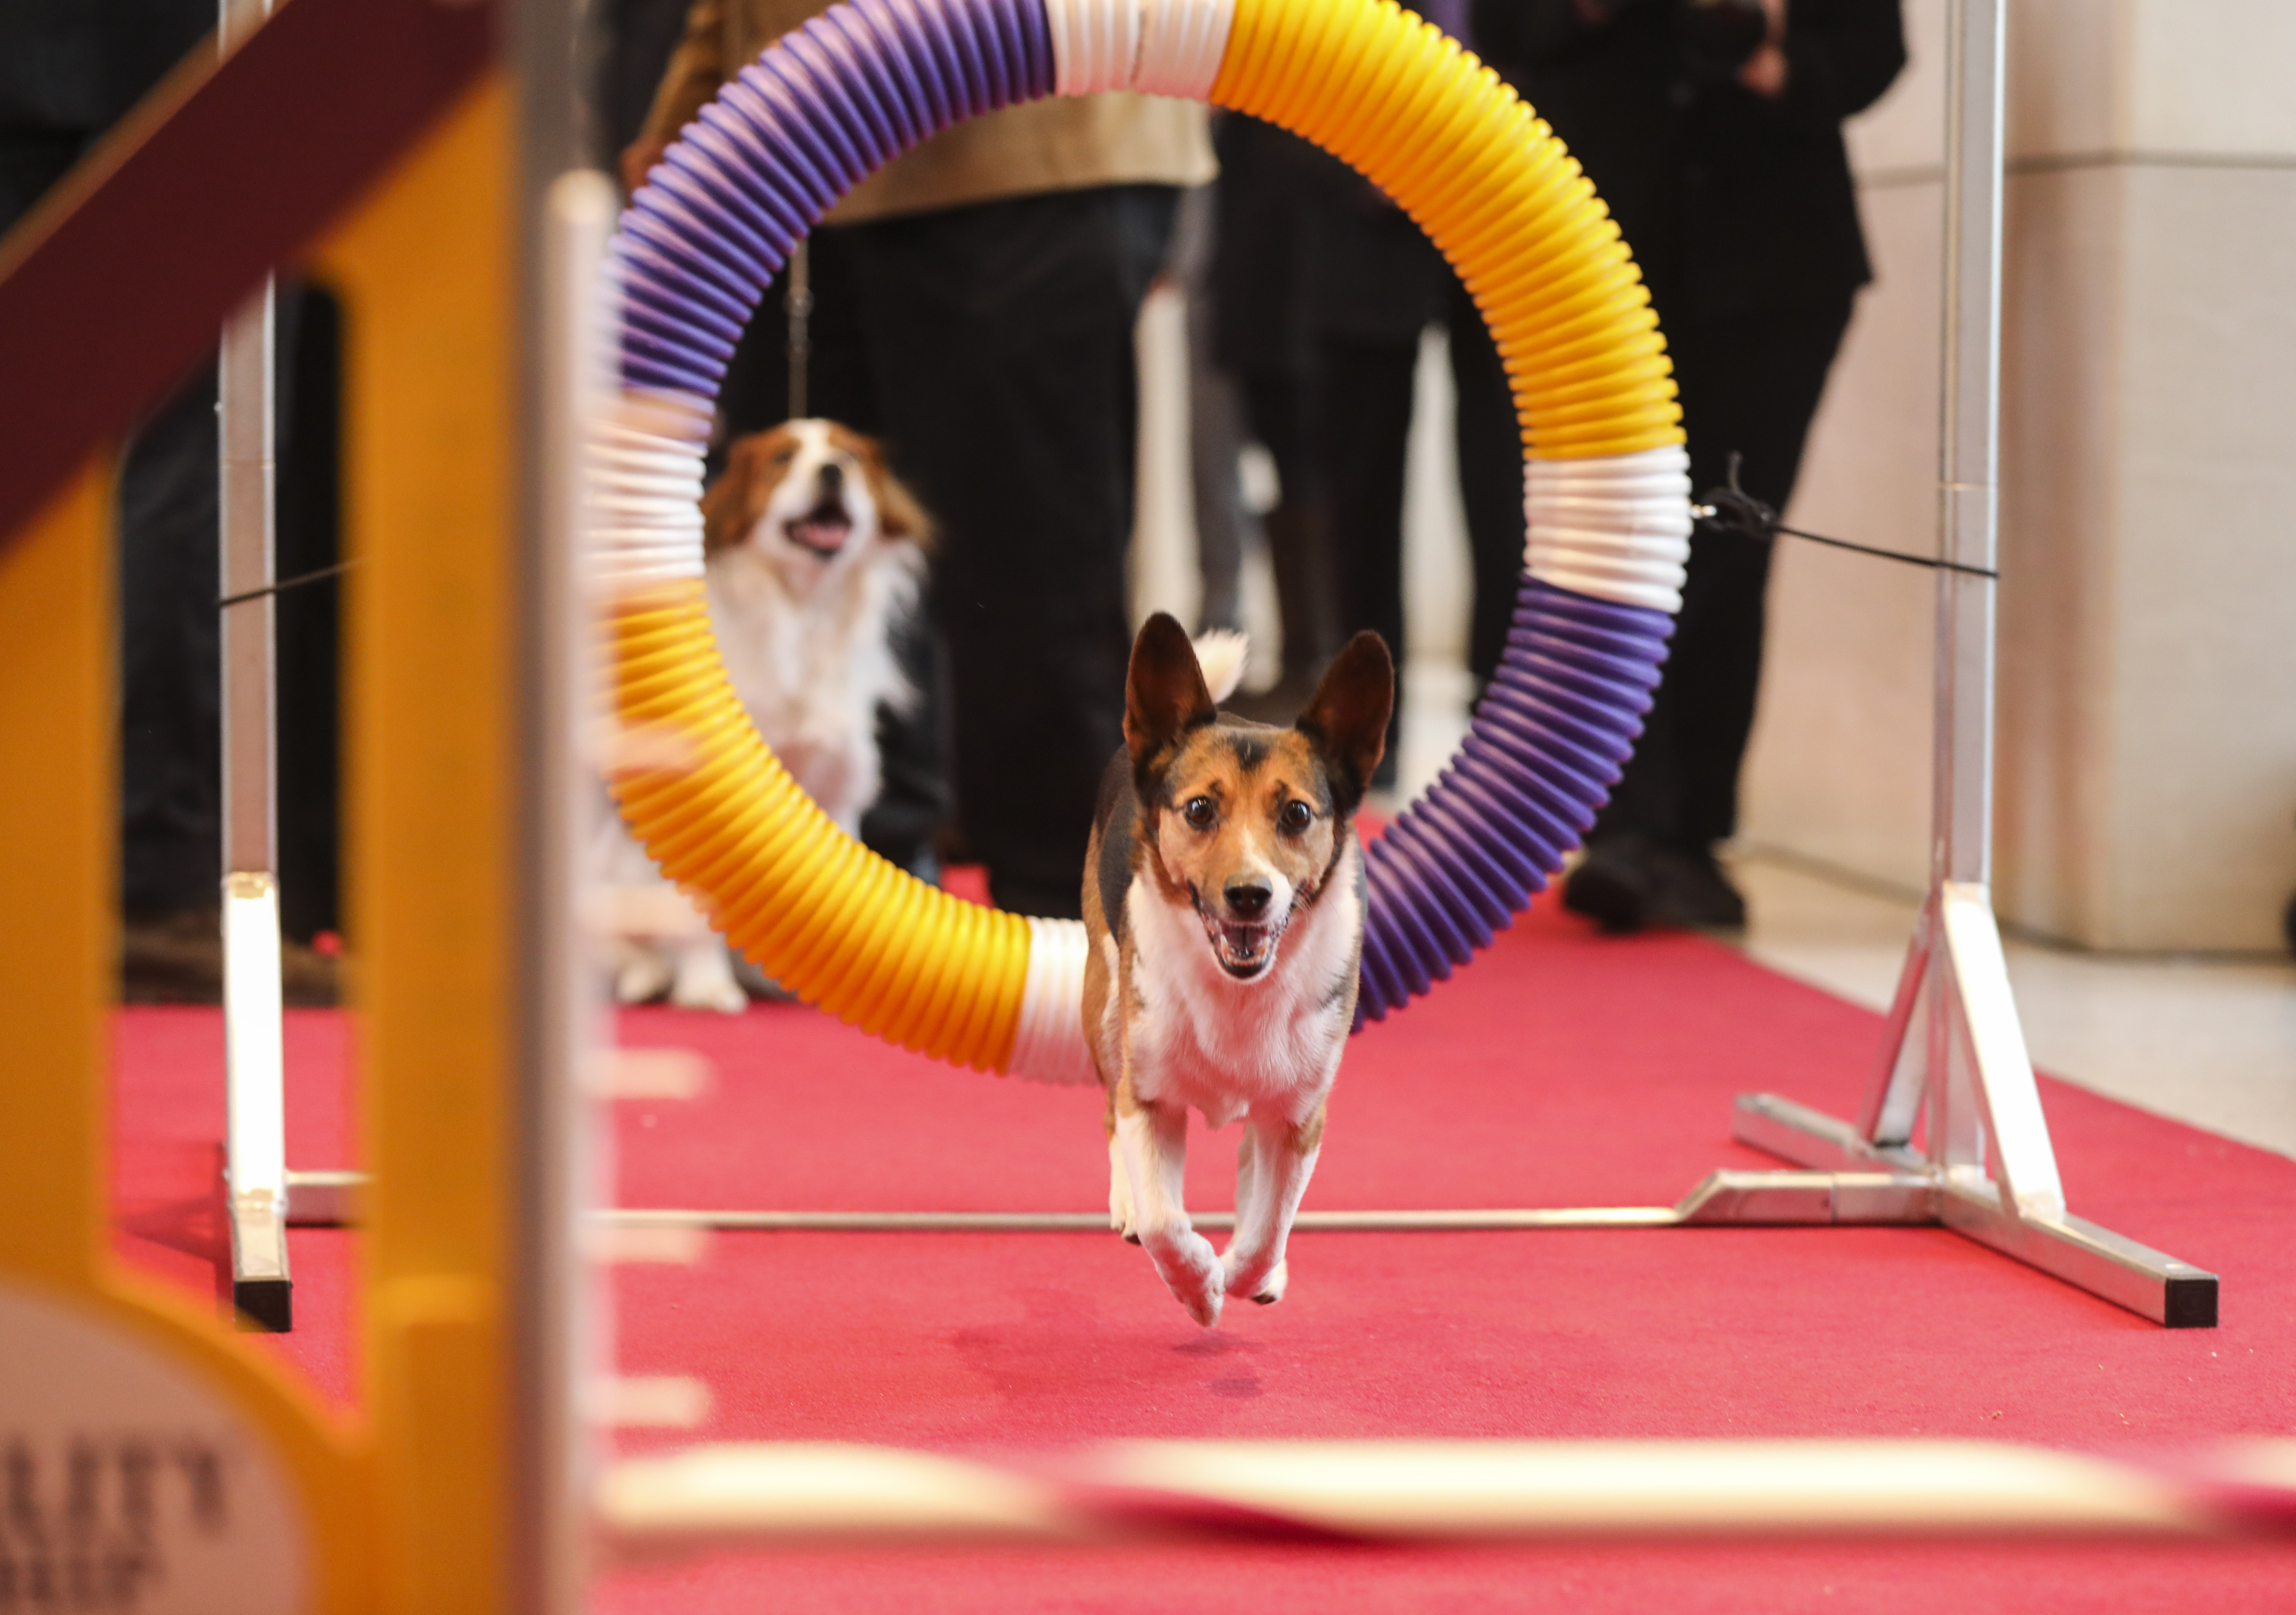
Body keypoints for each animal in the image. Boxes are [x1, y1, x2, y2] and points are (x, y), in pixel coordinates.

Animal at [615, 418, 937, 1010]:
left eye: (850, 456)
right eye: (782, 459)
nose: (832, 471)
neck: (803, 615)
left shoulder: (834, 793)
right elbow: (699, 914)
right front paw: (707, 988)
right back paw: (644, 976)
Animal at [1079, 611, 1387, 1323]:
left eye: (1296, 813)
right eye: (1199, 810)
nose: (1250, 894)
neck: (1239, 988)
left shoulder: (1298, 1116)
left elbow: (1269, 1221)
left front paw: (1249, 1274)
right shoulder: (1149, 1095)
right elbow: (1166, 1222)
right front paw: (1197, 1288)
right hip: (1102, 1001)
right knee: (1109, 1110)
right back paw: (1127, 1202)